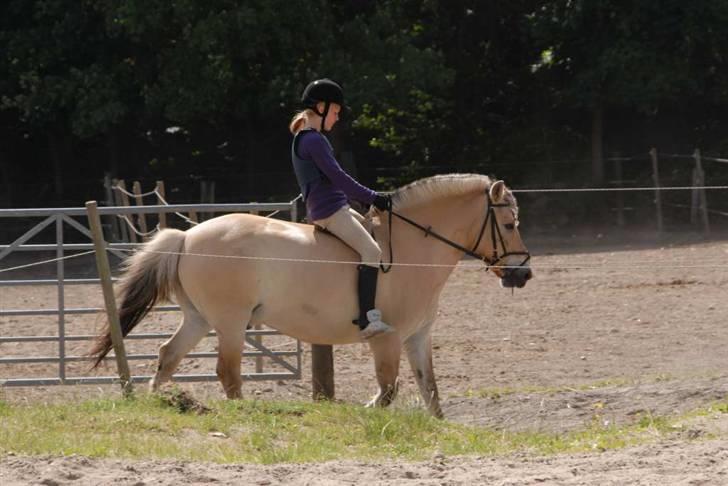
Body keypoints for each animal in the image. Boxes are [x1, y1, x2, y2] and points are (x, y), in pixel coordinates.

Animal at [94, 173, 532, 416]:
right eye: (510, 224)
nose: (523, 274)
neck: (412, 251)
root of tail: (186, 237)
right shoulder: (387, 339)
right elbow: (387, 390)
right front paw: (365, 412)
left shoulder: (417, 337)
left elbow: (432, 392)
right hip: (231, 322)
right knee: (227, 372)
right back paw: (240, 413)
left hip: (200, 319)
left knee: (168, 355)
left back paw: (157, 405)